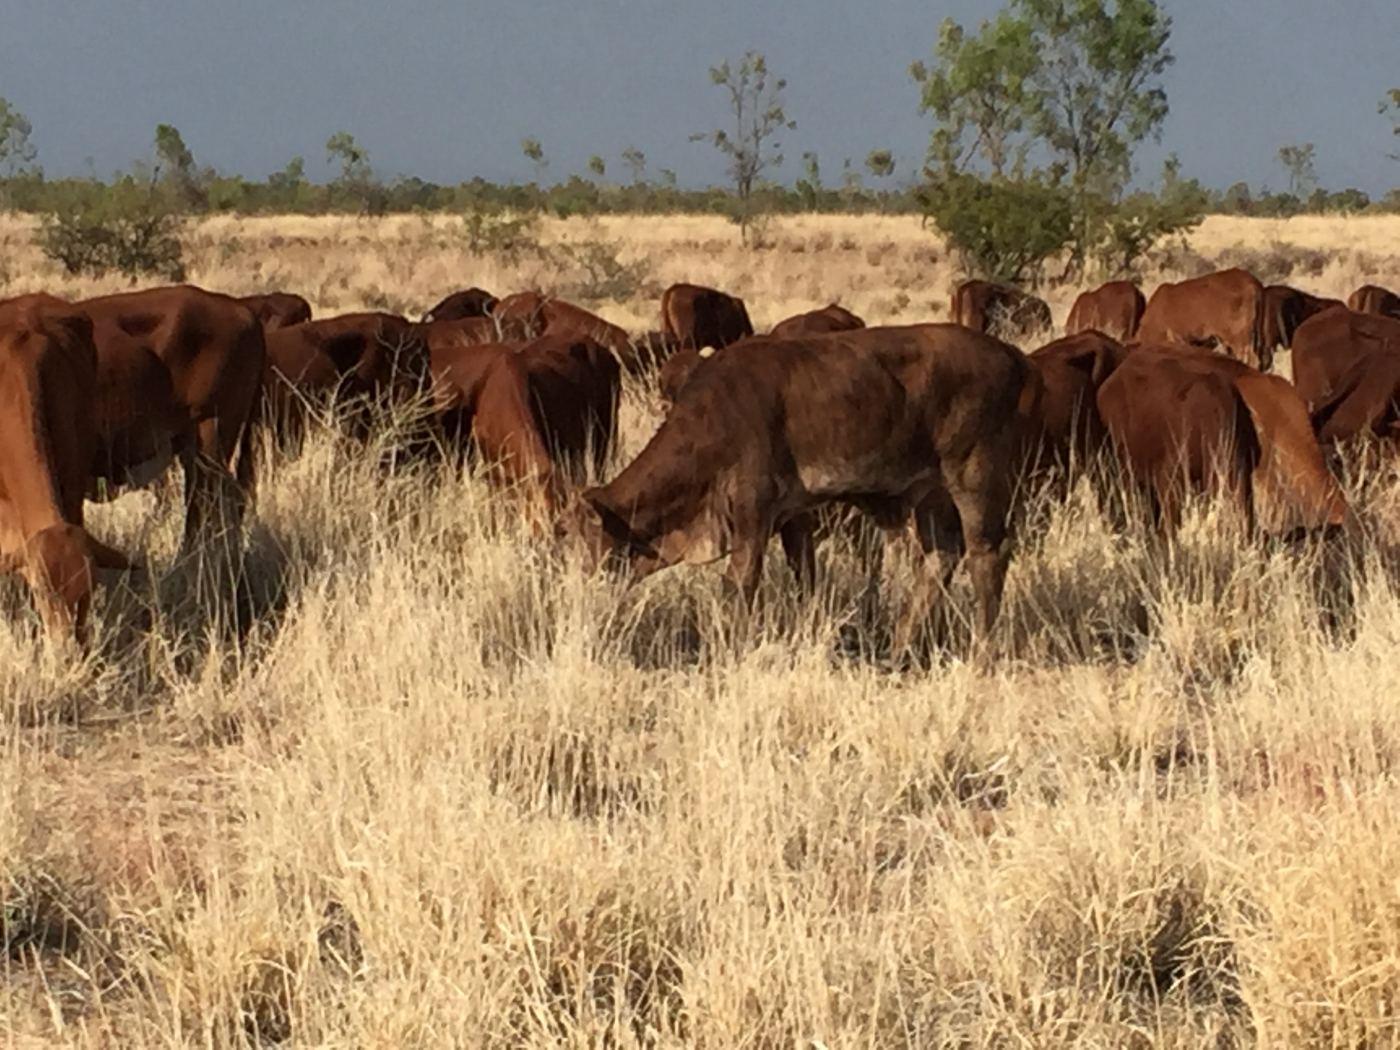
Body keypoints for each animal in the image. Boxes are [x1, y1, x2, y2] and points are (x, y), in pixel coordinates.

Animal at [571, 324, 1039, 639]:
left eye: (588, 541)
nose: (580, 584)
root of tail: (1009, 355)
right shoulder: (793, 517)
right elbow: (806, 577)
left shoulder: (754, 514)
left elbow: (740, 585)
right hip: (931, 494)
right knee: (939, 558)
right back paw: (901, 644)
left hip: (974, 480)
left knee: (987, 557)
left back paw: (981, 652)